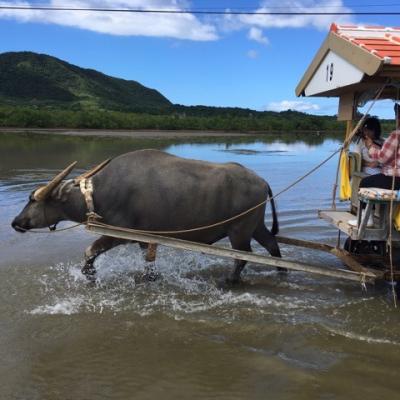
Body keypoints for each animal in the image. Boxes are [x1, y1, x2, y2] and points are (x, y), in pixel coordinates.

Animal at [12, 148, 282, 282]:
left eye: (32, 200)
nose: (16, 222)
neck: (98, 194)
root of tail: (261, 181)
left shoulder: (118, 235)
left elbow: (90, 251)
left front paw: (90, 274)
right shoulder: (146, 239)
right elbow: (148, 262)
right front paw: (151, 278)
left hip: (239, 231)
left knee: (242, 257)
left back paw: (230, 280)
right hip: (255, 226)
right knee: (272, 246)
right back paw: (282, 273)